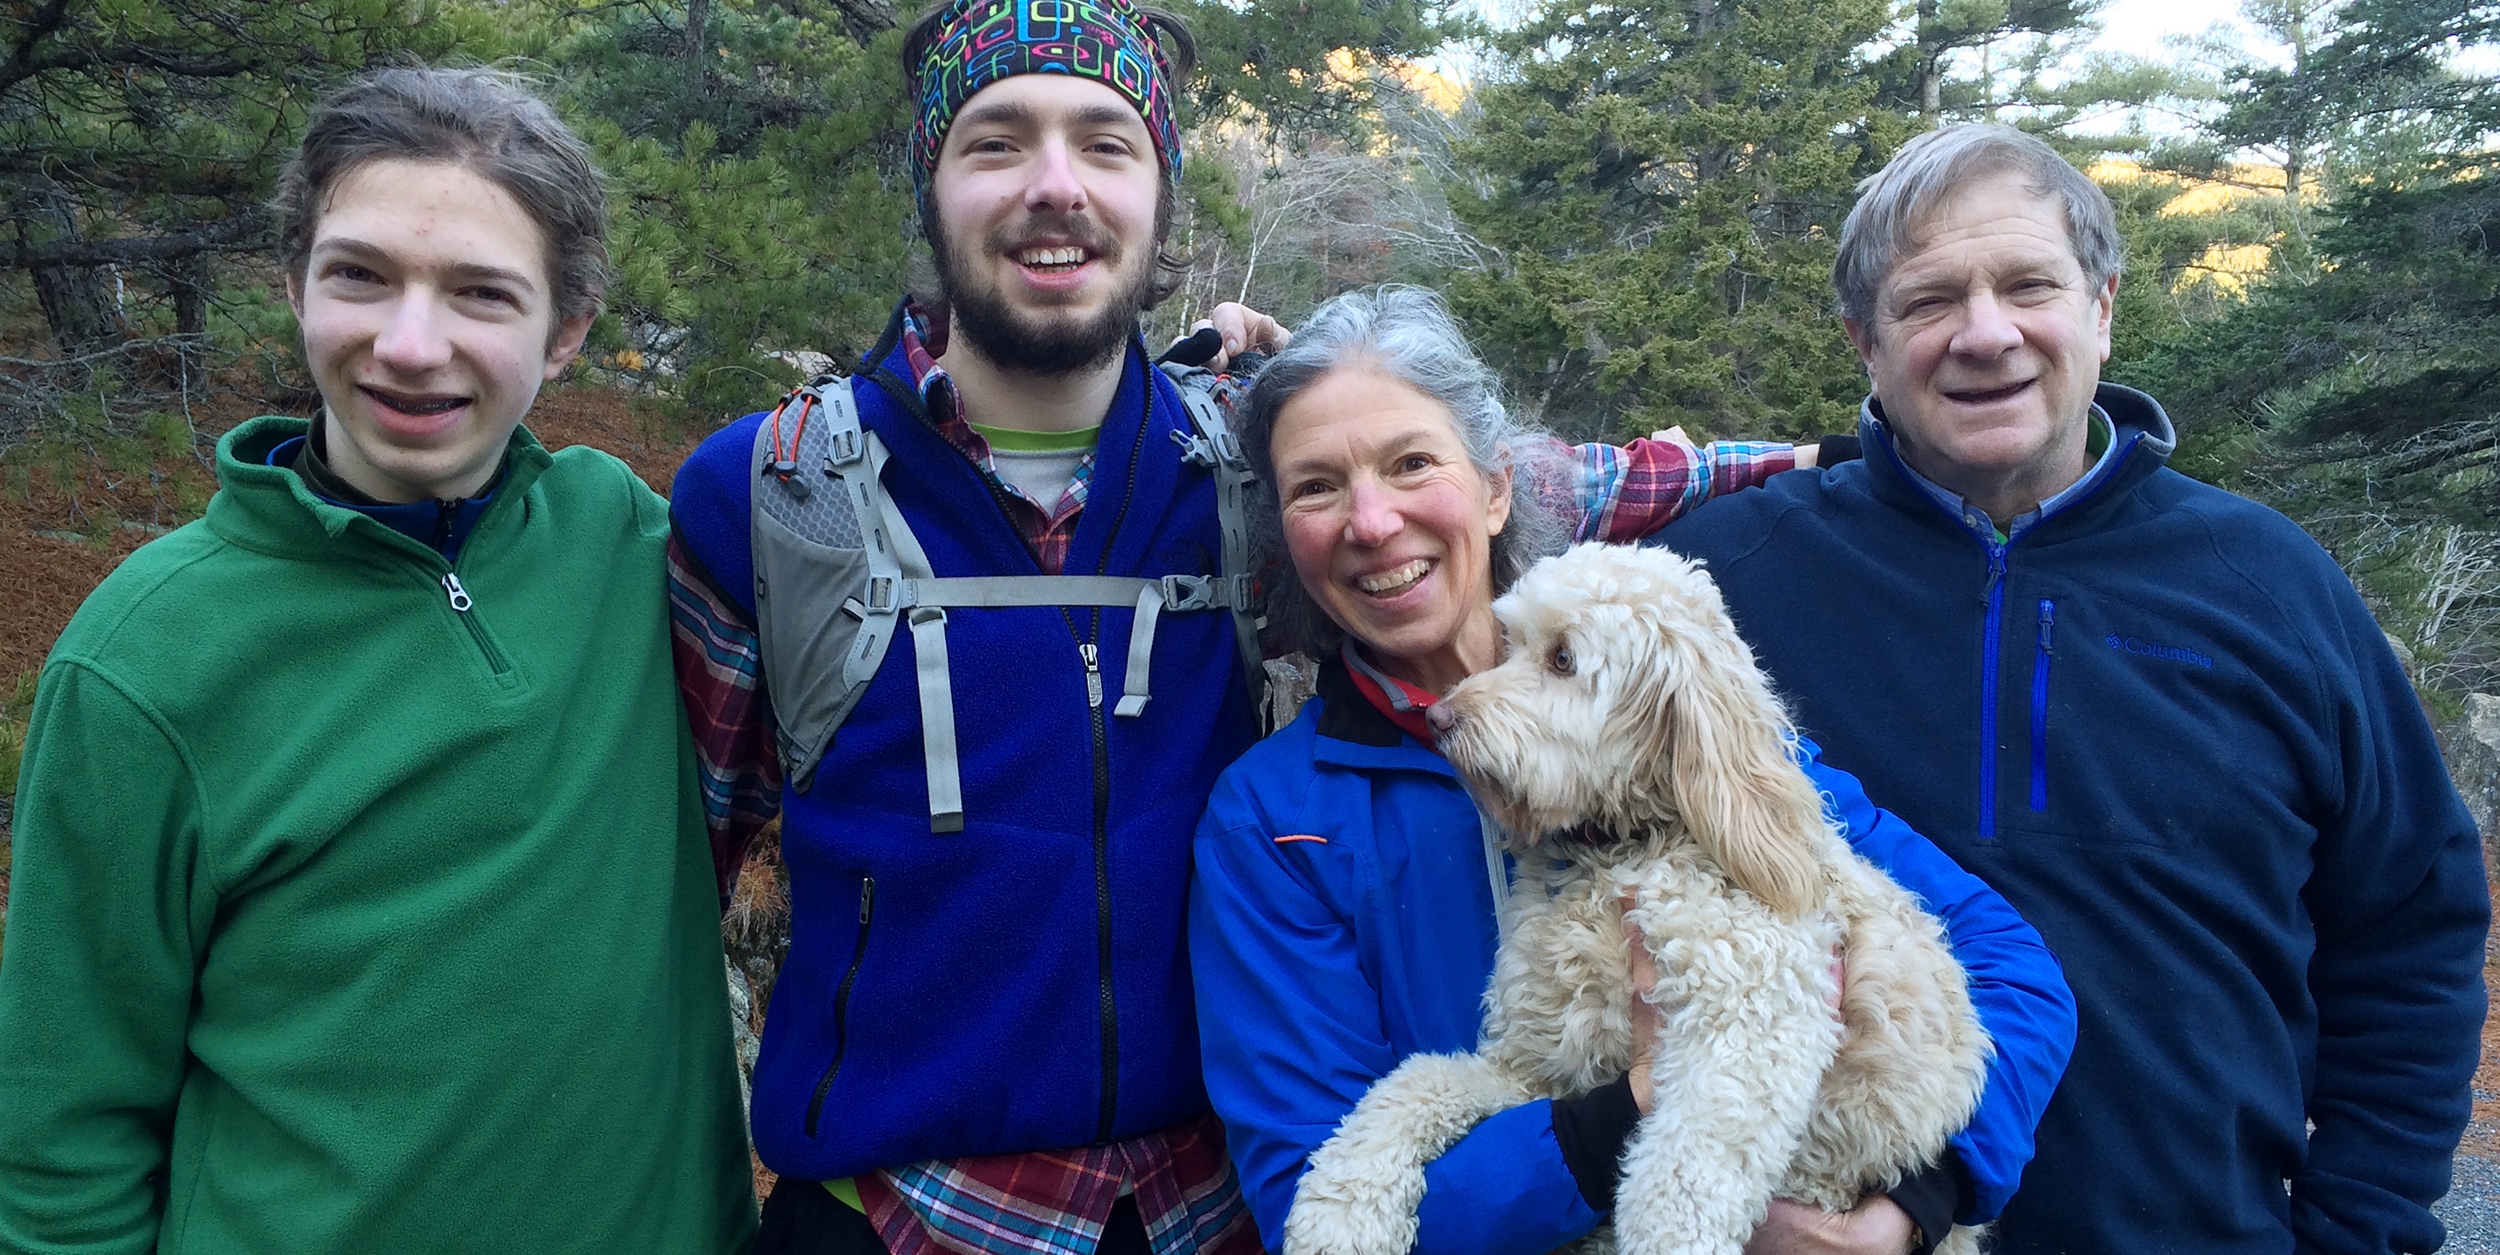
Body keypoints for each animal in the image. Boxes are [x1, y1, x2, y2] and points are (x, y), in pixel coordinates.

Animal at [1290, 545, 1990, 1255]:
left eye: (1563, 659)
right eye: (1511, 644)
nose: (1439, 720)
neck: (1619, 850)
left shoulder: (1750, 1026)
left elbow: (1680, 1185)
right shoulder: (1540, 1067)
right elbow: (1417, 1083)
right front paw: (1340, 1210)